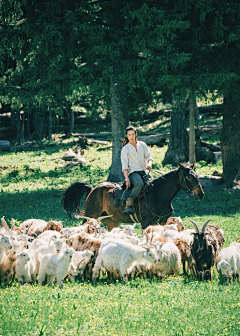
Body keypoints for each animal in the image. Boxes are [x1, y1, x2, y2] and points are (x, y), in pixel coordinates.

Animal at [62, 161, 204, 230]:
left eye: (196, 175)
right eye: (189, 176)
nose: (200, 194)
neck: (158, 195)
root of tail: (93, 190)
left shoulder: (163, 221)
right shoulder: (146, 222)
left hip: (111, 222)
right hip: (90, 217)